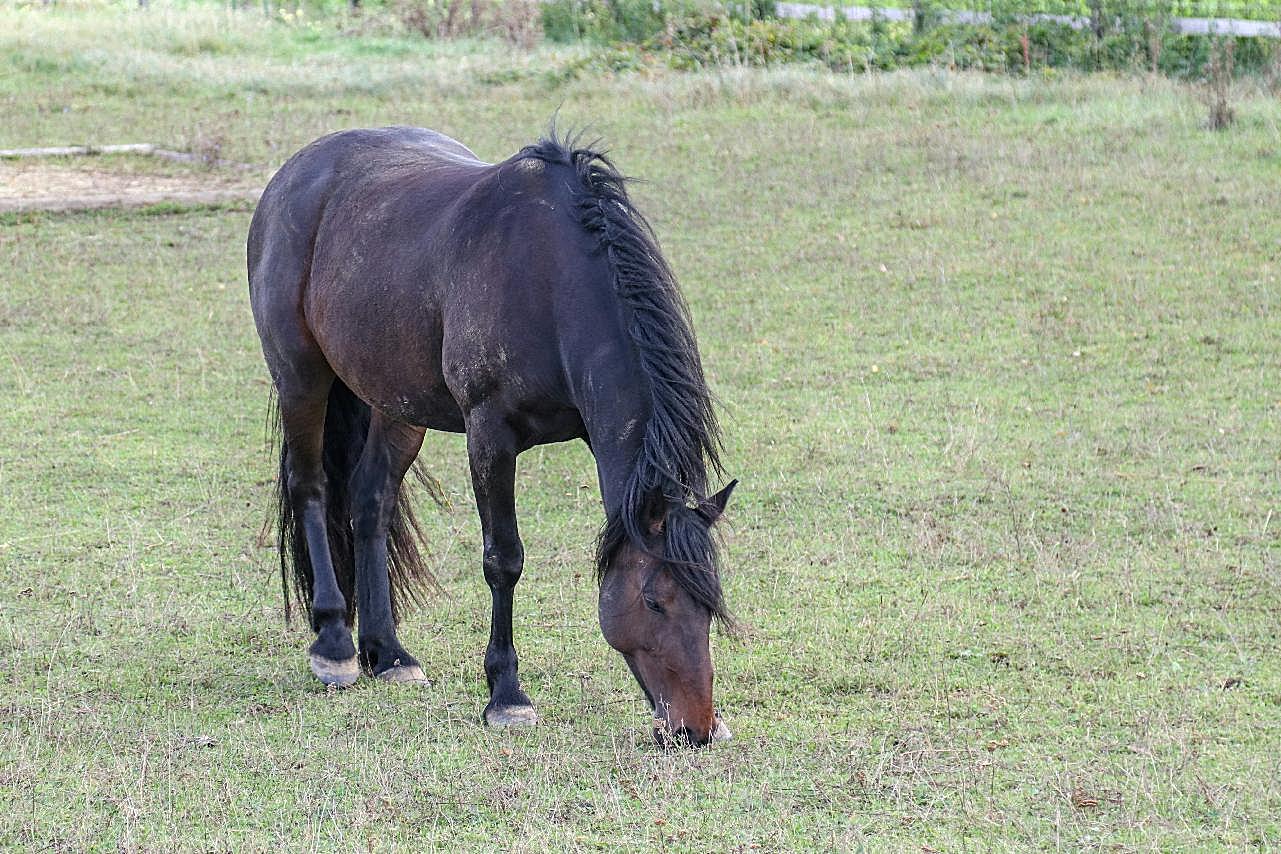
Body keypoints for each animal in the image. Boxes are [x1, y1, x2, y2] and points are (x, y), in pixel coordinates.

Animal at [244, 126, 737, 747]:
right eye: (654, 600)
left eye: (710, 600)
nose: (698, 728)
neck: (550, 283)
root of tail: (294, 172)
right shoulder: (489, 437)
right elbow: (504, 560)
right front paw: (507, 695)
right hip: (301, 378)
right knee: (309, 487)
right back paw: (334, 643)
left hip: (396, 404)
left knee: (370, 502)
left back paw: (389, 653)